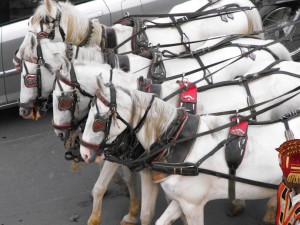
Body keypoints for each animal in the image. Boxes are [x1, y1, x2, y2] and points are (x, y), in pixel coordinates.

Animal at [79, 80, 300, 224]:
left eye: (98, 121)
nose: (83, 153)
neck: (176, 140)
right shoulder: (182, 201)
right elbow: (160, 220)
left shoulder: (193, 205)